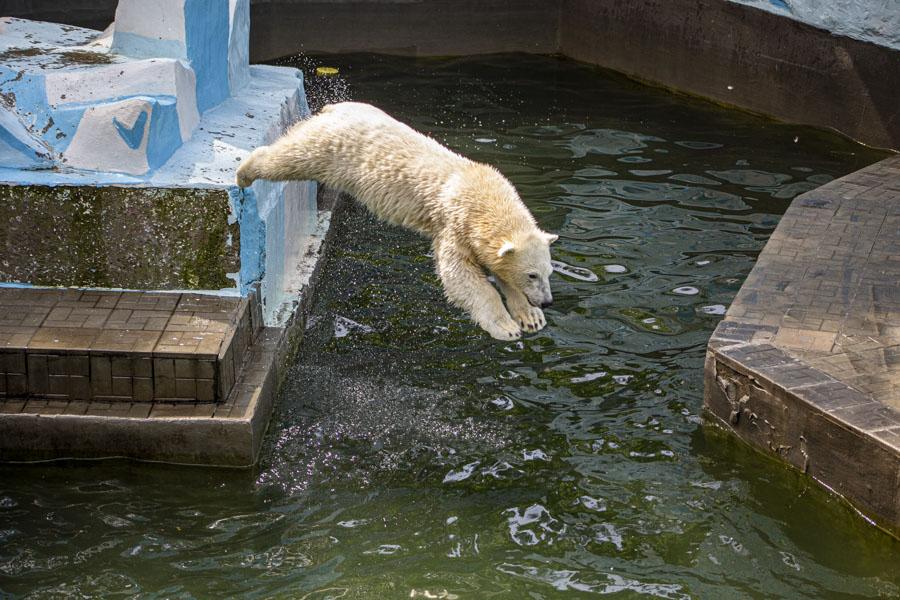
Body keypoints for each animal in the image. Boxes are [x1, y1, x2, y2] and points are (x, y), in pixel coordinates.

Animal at [234, 101, 556, 340]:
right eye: (532, 274)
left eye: (548, 272)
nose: (547, 301)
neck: (483, 197)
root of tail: (335, 107)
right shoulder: (454, 225)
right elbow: (460, 278)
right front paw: (506, 327)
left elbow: (499, 273)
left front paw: (531, 317)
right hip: (332, 148)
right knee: (293, 156)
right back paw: (245, 171)